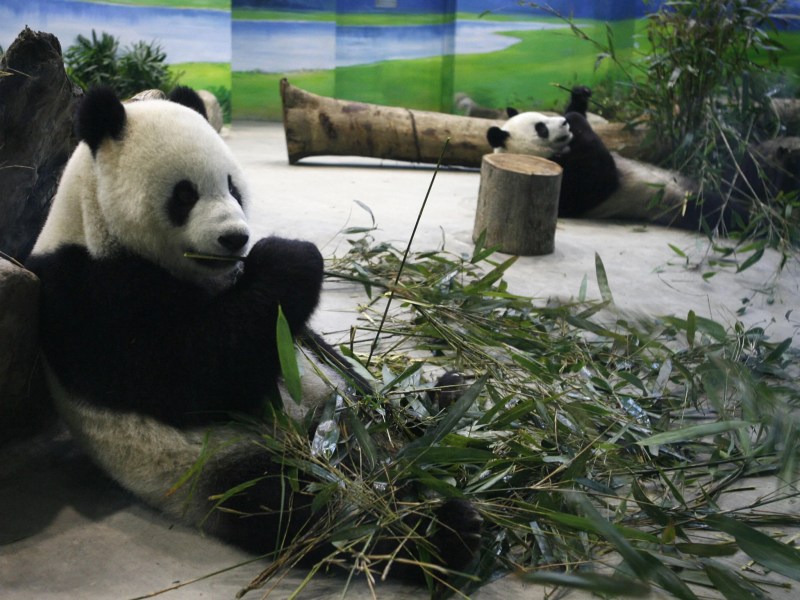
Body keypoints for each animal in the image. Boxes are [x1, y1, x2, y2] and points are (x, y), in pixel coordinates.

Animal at [25, 86, 481, 581]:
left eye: (233, 187)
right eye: (184, 194)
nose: (235, 238)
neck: (91, 220)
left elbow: (295, 338)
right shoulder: (88, 294)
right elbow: (193, 373)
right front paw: (292, 255)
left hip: (344, 402)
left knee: (385, 409)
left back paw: (449, 404)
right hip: (219, 461)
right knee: (309, 510)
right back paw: (442, 535)